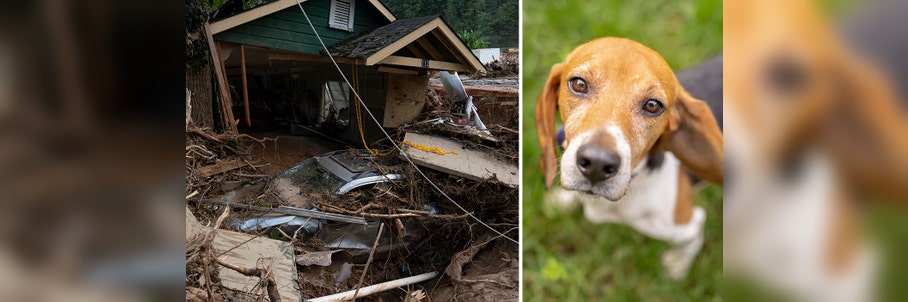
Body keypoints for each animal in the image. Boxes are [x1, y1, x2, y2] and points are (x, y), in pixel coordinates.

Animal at [532, 37, 724, 280]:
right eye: (579, 84)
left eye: (653, 105)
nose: (597, 163)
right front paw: (564, 199)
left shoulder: (688, 223)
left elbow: (692, 240)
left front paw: (678, 265)